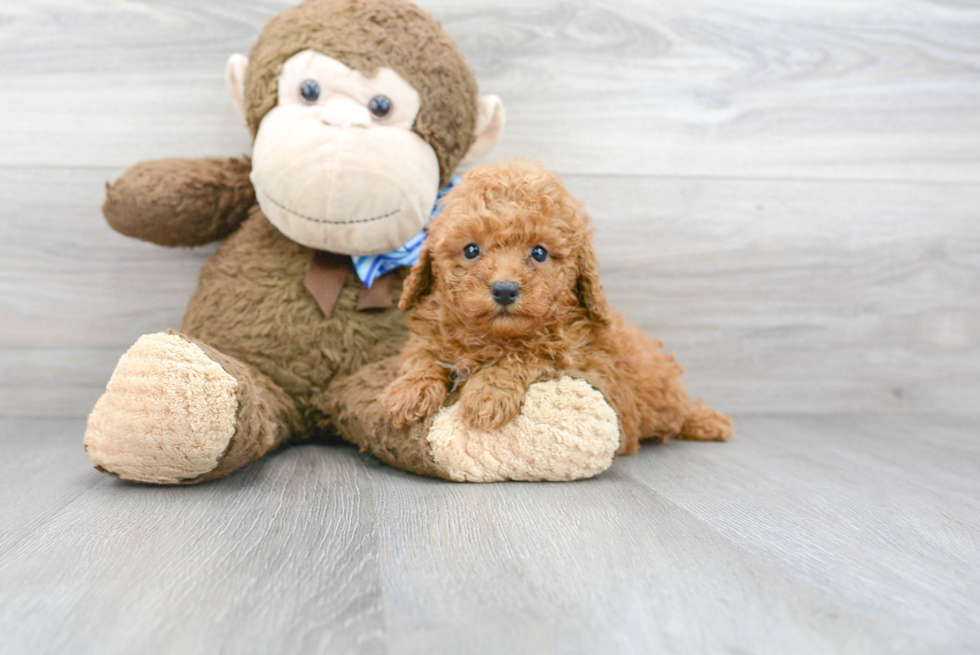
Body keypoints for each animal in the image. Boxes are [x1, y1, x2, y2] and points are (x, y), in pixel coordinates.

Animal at [378, 161, 732, 454]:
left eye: (539, 253)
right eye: (471, 250)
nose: (504, 290)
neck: (493, 337)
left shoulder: (589, 367)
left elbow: (528, 354)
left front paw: (487, 395)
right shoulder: (428, 335)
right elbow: (421, 355)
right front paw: (407, 392)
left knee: (682, 413)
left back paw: (708, 422)